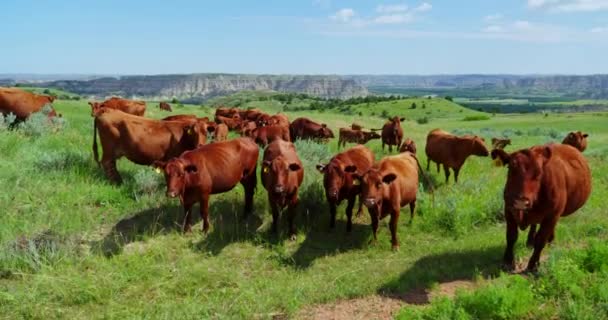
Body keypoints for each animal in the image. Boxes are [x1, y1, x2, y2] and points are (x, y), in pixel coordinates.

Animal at [492, 144, 592, 272]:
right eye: (510, 168)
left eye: (539, 172)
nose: (521, 202)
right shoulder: (509, 210)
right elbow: (511, 236)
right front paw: (508, 262)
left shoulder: (551, 215)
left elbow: (540, 240)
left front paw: (533, 264)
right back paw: (530, 241)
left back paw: (550, 240)